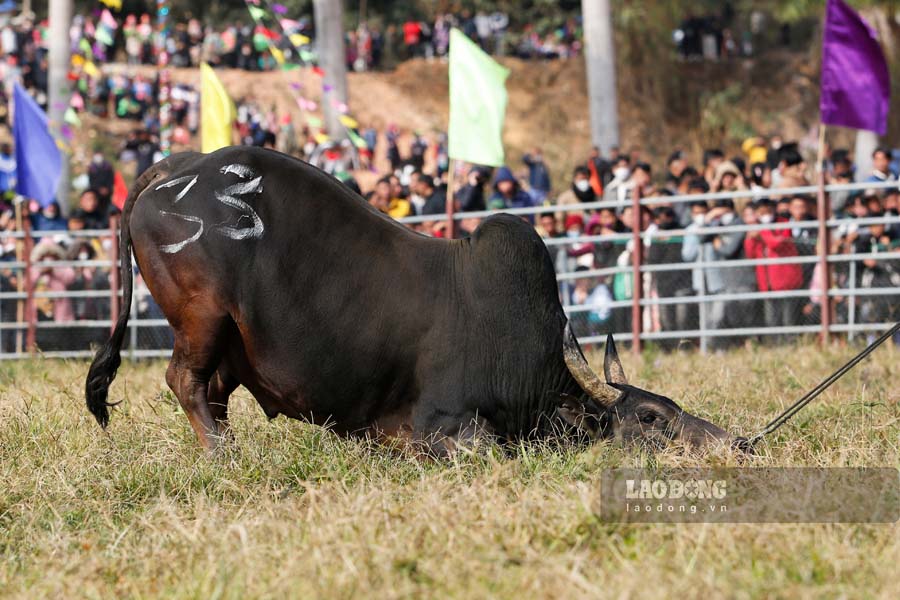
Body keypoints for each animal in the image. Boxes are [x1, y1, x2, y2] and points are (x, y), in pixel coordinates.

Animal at [84, 146, 744, 454]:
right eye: (651, 418)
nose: (735, 443)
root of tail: (182, 166)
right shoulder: (443, 427)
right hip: (202, 316)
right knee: (186, 382)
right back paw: (227, 458)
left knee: (213, 390)